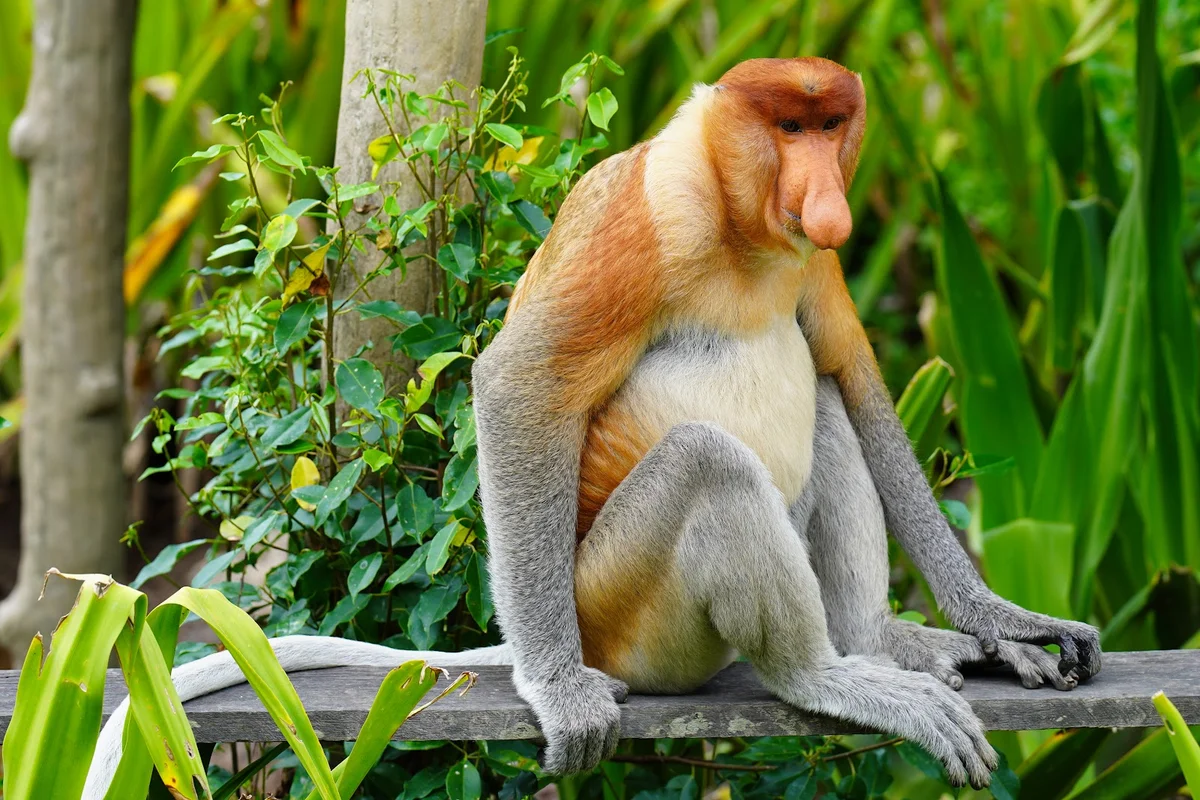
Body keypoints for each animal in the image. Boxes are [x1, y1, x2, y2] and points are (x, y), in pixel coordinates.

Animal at [83, 57, 1100, 797]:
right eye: (787, 130)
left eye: (829, 128)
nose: (825, 195)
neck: (740, 229)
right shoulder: (641, 217)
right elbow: (517, 386)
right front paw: (558, 695)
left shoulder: (815, 260)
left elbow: (854, 376)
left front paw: (1005, 624)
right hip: (622, 609)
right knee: (707, 463)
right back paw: (824, 675)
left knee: (824, 403)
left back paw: (875, 640)